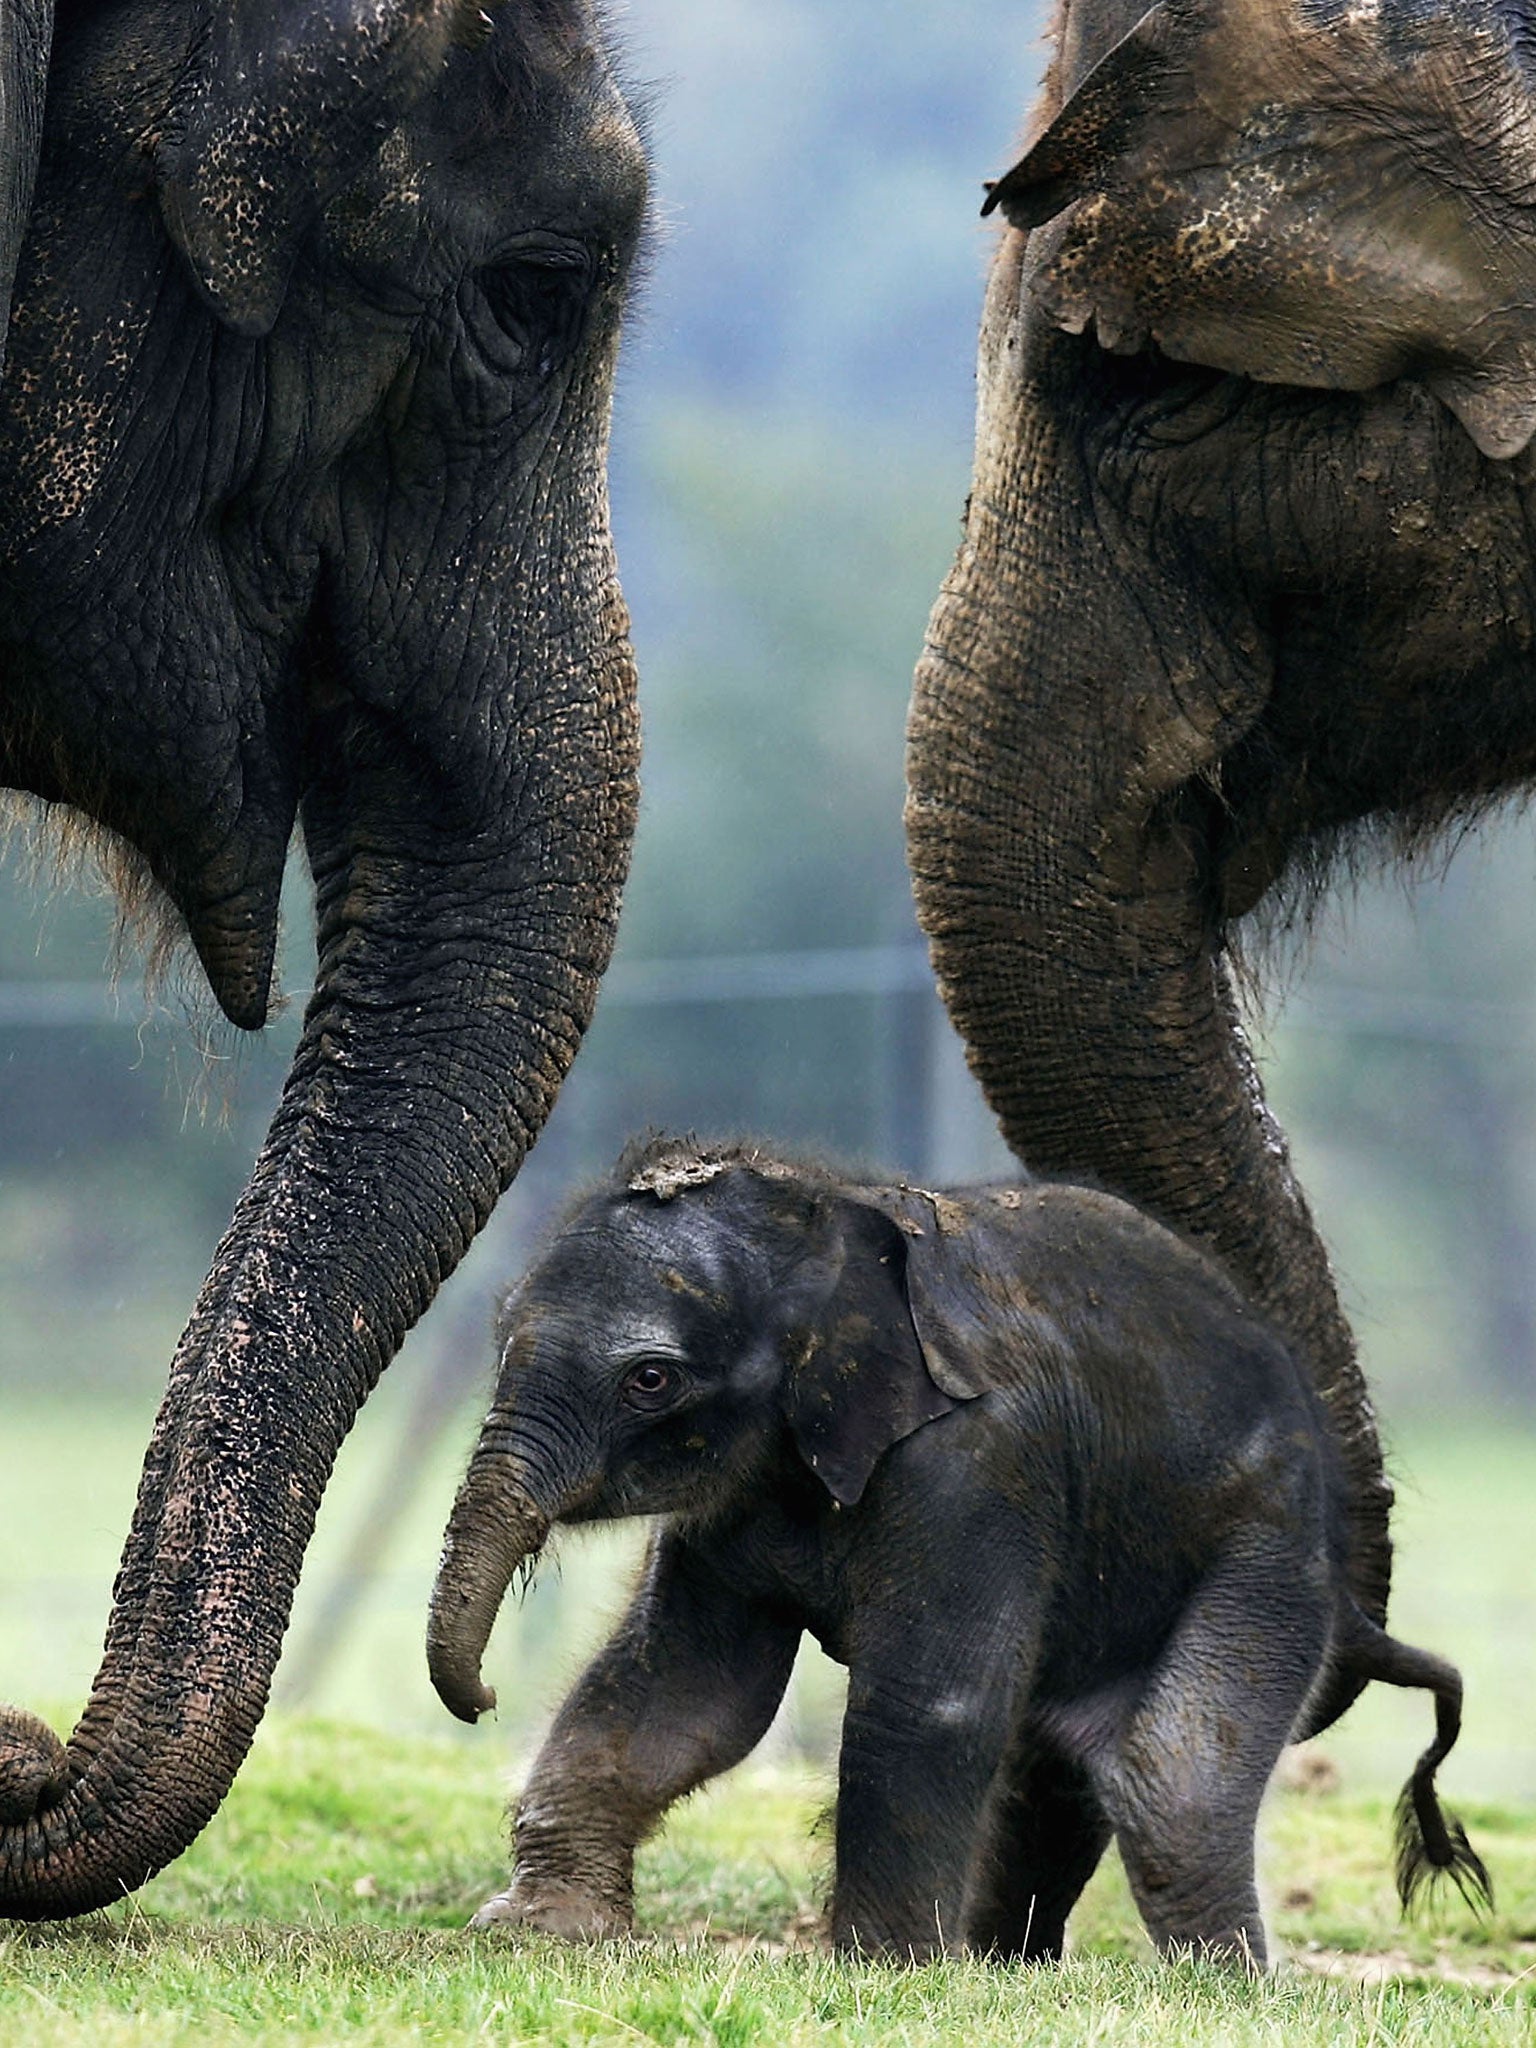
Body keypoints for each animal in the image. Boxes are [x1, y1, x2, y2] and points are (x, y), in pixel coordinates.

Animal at [430, 1146, 1490, 1957]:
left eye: (650, 1380)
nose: (481, 1700)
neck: (827, 1226)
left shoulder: (979, 1467)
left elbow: (932, 1704)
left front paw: (880, 1973)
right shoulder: (734, 1502)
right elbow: (683, 1694)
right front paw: (537, 1932)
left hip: (1266, 1550)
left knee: (1168, 1787)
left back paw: (1223, 1992)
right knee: (1059, 1771)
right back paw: (1003, 1968)